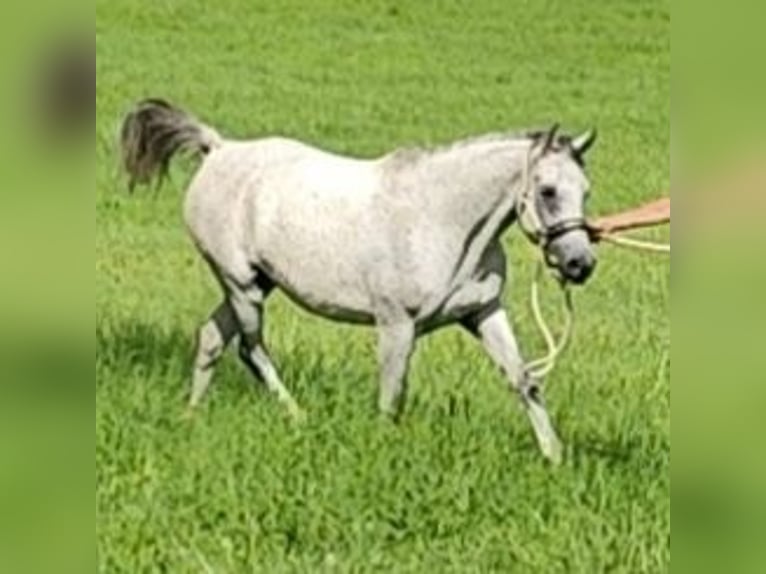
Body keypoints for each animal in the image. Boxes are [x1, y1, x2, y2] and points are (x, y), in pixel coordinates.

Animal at [121, 100, 600, 468]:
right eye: (548, 191)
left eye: (585, 191)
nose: (580, 264)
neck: (441, 218)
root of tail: (218, 148)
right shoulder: (397, 325)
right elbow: (391, 394)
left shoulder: (482, 312)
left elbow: (524, 380)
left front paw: (554, 456)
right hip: (241, 285)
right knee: (250, 349)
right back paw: (298, 417)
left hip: (257, 283)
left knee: (210, 338)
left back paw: (191, 415)